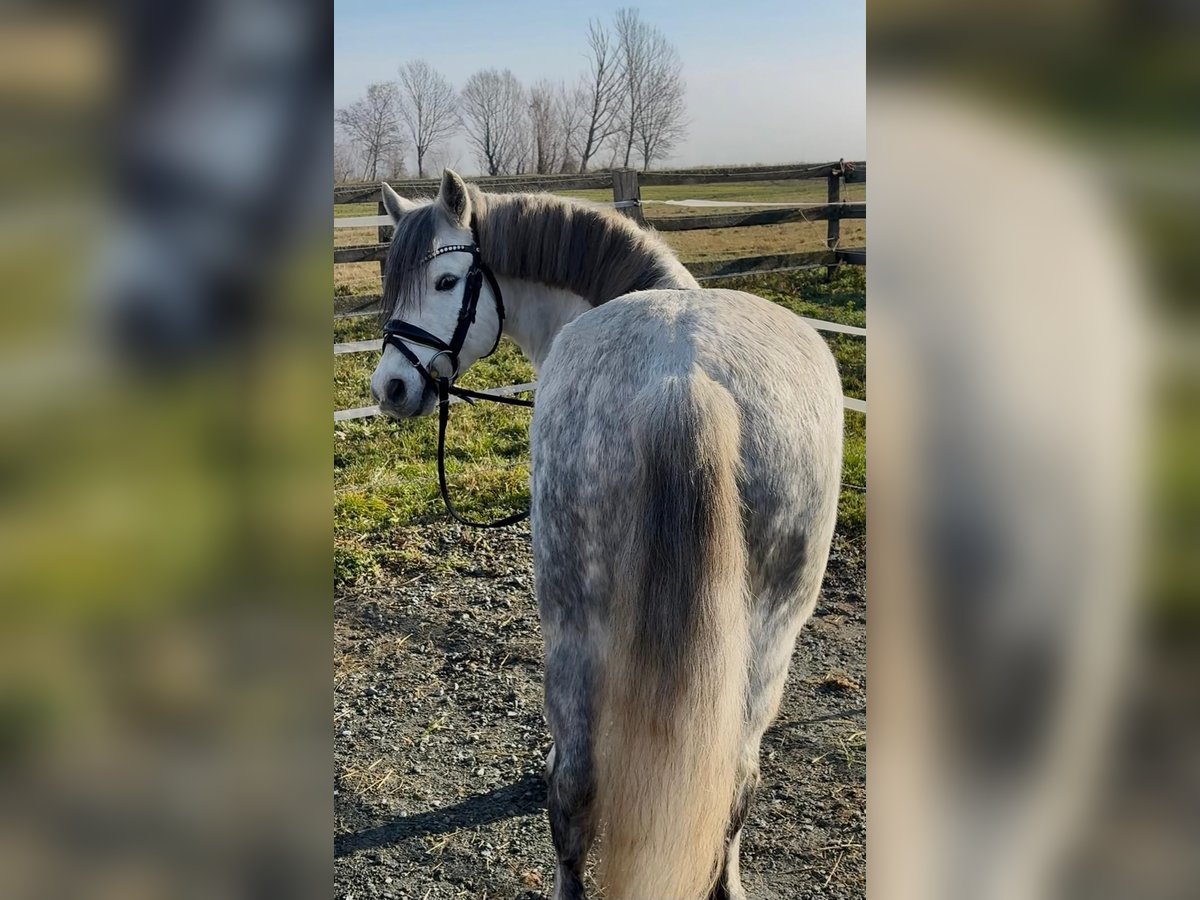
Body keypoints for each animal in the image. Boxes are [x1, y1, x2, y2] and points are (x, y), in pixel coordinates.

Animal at [370, 170, 844, 900]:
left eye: (447, 281)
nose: (390, 388)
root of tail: (683, 377)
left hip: (573, 625)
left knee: (572, 790)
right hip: (771, 636)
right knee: (737, 780)